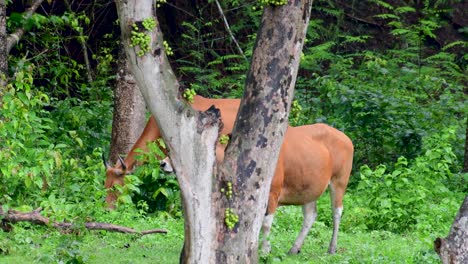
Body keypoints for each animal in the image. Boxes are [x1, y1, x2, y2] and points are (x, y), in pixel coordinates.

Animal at [102, 96, 352, 255]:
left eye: (115, 186)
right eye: (104, 184)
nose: (107, 208)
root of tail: (346, 139)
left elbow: (264, 223)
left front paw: (264, 250)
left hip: (339, 181)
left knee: (337, 212)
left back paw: (332, 248)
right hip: (310, 187)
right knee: (310, 215)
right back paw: (295, 248)